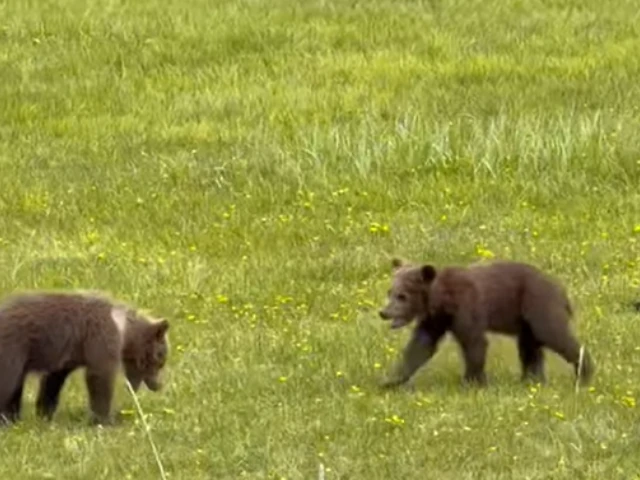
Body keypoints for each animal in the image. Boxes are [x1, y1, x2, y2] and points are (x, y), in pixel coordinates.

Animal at [0, 290, 170, 426]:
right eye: (160, 361)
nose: (157, 385)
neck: (123, 330)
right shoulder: (100, 337)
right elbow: (100, 378)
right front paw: (104, 420)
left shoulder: (68, 356)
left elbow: (52, 383)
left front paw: (44, 415)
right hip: (14, 348)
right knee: (8, 382)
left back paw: (12, 419)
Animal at [378, 258, 594, 389]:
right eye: (390, 292)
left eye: (402, 296)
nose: (384, 312)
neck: (441, 301)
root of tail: (562, 291)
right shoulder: (435, 320)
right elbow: (421, 345)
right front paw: (391, 380)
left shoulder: (467, 308)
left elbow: (474, 343)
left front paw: (472, 381)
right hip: (525, 321)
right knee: (529, 348)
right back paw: (531, 380)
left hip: (538, 305)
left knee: (553, 334)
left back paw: (584, 373)